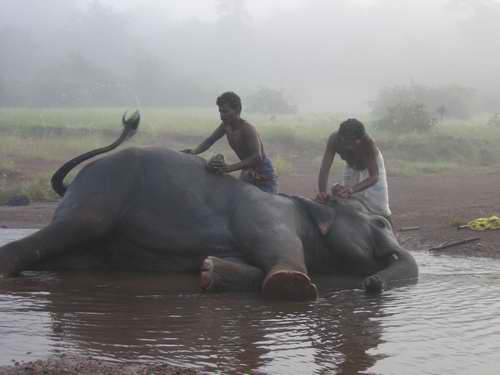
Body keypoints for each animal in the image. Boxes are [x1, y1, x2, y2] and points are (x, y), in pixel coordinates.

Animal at [0, 113, 418, 302]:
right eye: (381, 224)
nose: (371, 283)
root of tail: (75, 181)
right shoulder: (268, 215)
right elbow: (275, 249)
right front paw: (292, 284)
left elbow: (245, 267)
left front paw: (208, 271)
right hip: (99, 197)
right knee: (72, 228)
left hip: (94, 240)